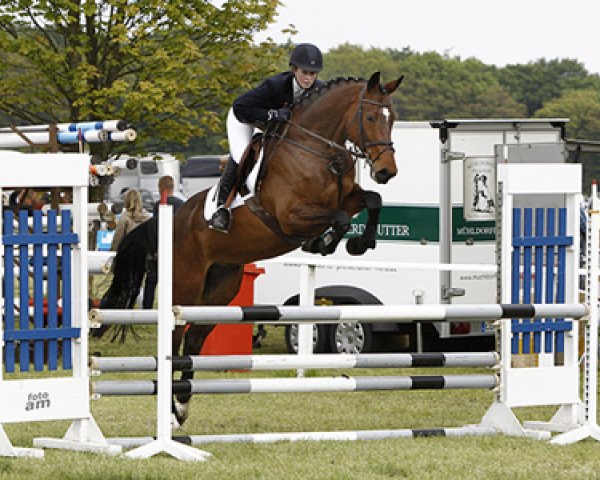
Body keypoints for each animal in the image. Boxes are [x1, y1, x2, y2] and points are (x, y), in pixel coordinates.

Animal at [101, 71, 404, 424]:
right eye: (369, 117)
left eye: (391, 118)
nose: (386, 171)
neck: (319, 151)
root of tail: (170, 219)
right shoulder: (291, 217)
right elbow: (340, 218)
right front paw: (325, 243)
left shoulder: (348, 197)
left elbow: (373, 200)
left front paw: (359, 243)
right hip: (186, 287)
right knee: (175, 340)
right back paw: (172, 409)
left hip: (220, 289)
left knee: (194, 339)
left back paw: (183, 405)